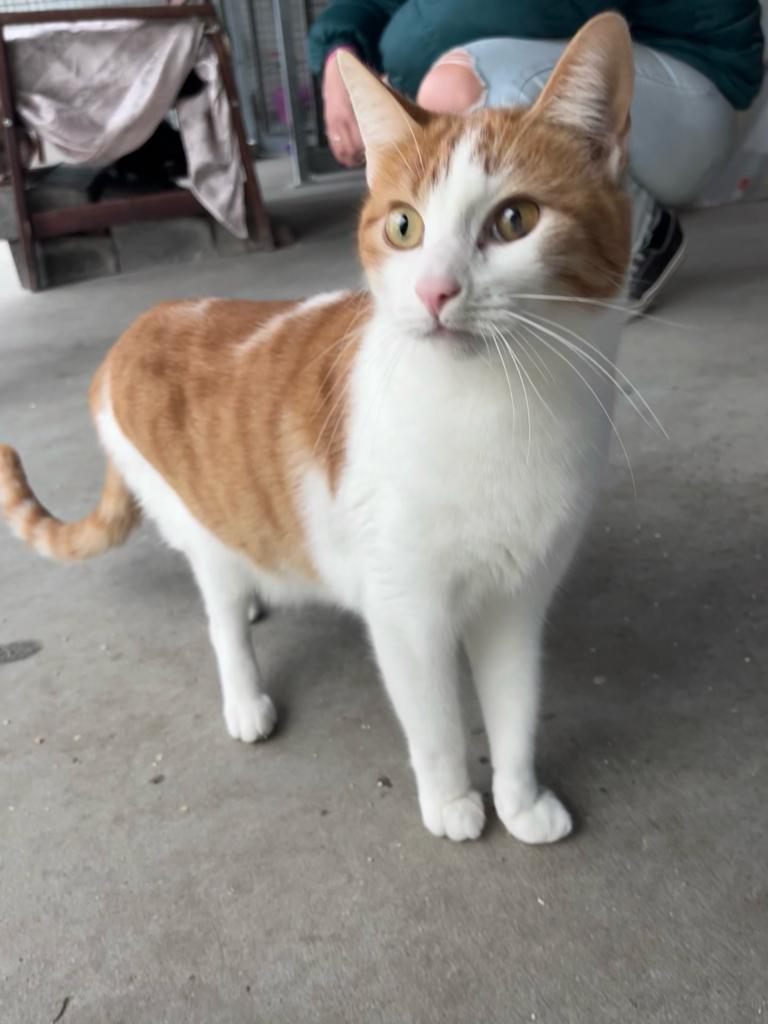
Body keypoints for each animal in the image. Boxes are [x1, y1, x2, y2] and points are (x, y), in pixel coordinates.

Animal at [0, 13, 634, 843]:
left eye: (515, 220)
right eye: (404, 226)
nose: (435, 292)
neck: (499, 408)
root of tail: (140, 326)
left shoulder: (518, 602)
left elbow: (515, 710)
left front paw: (521, 802)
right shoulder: (407, 608)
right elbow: (436, 720)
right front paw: (452, 803)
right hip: (191, 509)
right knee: (219, 612)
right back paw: (244, 693)